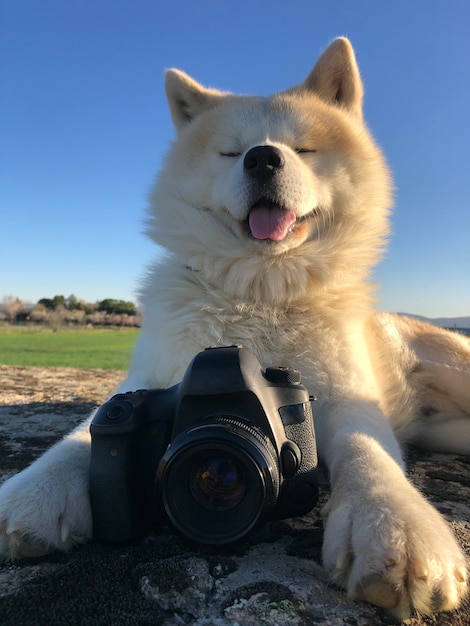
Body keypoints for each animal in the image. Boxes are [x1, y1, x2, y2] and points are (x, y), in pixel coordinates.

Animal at [0, 39, 470, 620]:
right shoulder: (149, 380)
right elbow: (82, 434)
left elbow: (370, 453)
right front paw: (34, 490)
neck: (259, 291)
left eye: (304, 149)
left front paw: (394, 526)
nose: (263, 156)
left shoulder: (348, 394)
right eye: (230, 152)